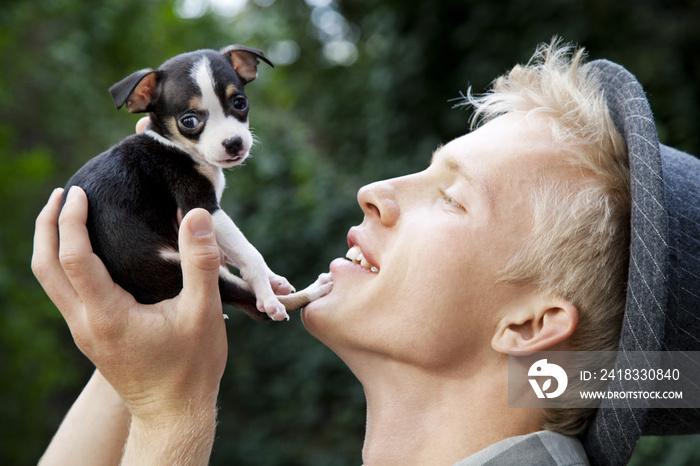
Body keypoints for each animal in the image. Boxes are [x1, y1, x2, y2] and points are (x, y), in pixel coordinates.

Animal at [62, 45, 330, 322]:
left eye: (240, 103)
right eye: (189, 121)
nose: (234, 142)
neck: (175, 145)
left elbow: (238, 251)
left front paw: (272, 278)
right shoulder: (203, 207)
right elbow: (250, 253)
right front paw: (267, 293)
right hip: (179, 269)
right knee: (259, 307)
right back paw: (309, 291)